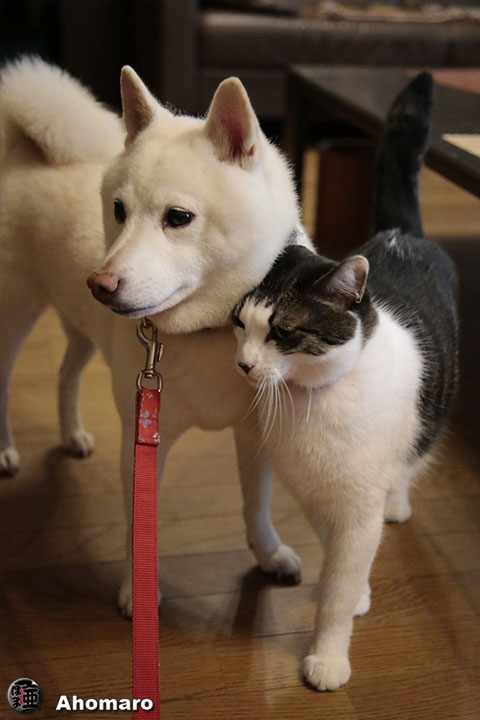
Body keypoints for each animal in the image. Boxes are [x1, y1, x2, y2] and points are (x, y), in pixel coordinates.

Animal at [231, 72, 458, 691]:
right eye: (240, 324)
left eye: (282, 331)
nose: (244, 364)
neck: (313, 402)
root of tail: (401, 232)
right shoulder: (313, 490)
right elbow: (335, 555)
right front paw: (355, 593)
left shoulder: (357, 502)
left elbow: (337, 583)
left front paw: (329, 656)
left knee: (412, 456)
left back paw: (397, 501)